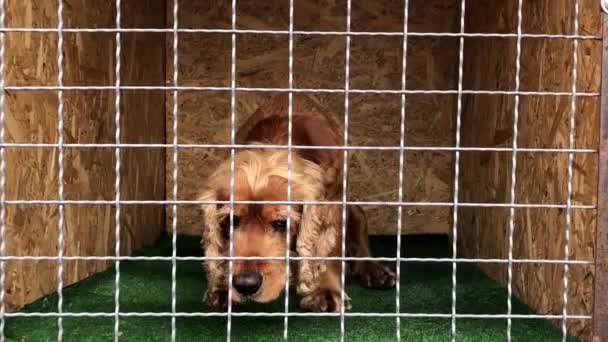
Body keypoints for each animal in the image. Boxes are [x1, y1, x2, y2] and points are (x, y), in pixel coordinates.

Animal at [200, 94, 396, 312]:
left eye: (281, 223)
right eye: (231, 221)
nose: (245, 284)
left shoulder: (332, 198)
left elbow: (330, 249)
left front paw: (326, 290)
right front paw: (221, 287)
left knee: (359, 215)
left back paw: (374, 269)